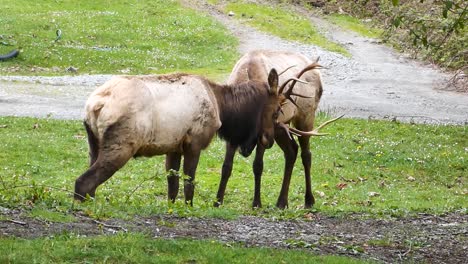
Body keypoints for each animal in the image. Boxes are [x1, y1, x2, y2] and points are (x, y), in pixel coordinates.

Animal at [73, 69, 306, 205]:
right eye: (276, 111)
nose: (268, 140)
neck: (223, 107)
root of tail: (95, 105)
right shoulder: (194, 143)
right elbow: (189, 185)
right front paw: (189, 208)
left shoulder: (174, 147)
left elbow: (173, 188)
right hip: (122, 145)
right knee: (83, 183)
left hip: (93, 144)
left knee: (89, 184)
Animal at [214, 50, 342, 208]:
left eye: (276, 112)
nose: (268, 142)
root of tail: (317, 73)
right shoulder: (234, 134)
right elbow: (226, 167)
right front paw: (217, 201)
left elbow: (258, 166)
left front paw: (257, 202)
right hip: (282, 127)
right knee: (292, 151)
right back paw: (282, 201)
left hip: (303, 117)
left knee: (306, 154)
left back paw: (309, 199)